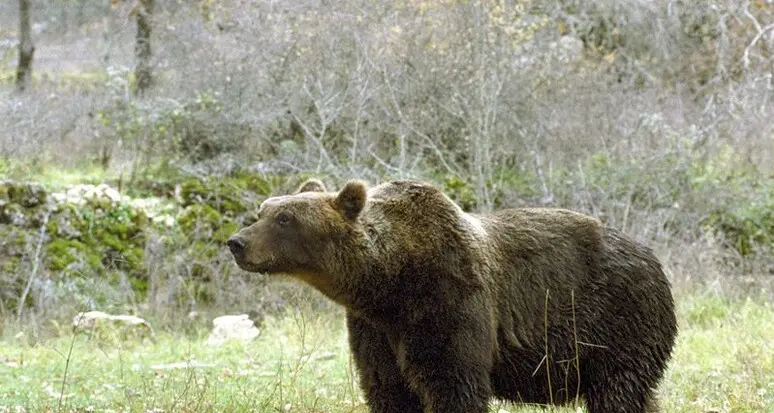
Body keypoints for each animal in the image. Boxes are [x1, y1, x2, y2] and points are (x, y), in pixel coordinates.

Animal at [227, 178, 677, 413]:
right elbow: (388, 388)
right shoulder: (373, 329)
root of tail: (652, 256)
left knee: (619, 393)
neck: (388, 283)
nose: (237, 242)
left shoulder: (448, 301)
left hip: (618, 324)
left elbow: (452, 382)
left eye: (286, 218)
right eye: (264, 209)